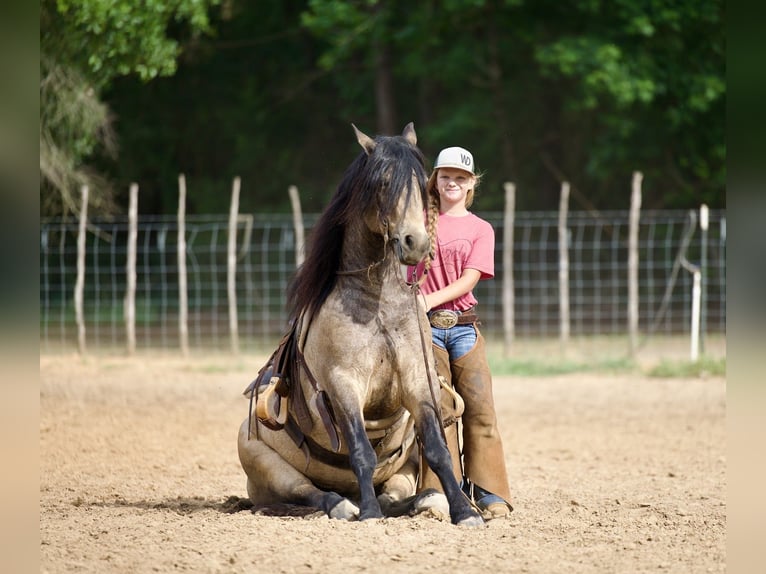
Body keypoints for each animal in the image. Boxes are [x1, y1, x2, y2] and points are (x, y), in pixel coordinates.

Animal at [237, 123, 483, 527]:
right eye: (383, 183)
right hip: (265, 463)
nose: (415, 243)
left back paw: (425, 500)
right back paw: (348, 505)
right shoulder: (343, 384)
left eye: (420, 184)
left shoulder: (418, 380)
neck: (377, 304)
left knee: (398, 493)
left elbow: (437, 447)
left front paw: (464, 511)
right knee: (309, 492)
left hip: (402, 471)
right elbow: (361, 450)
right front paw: (368, 513)